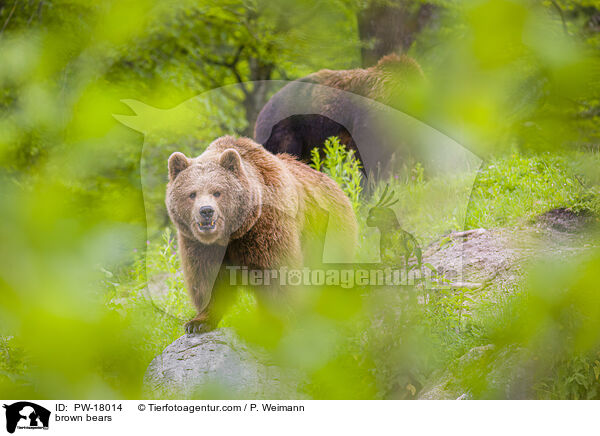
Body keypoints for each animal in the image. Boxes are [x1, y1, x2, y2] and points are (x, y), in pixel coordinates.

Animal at [166, 136, 358, 334]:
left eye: (217, 192)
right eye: (192, 194)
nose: (206, 211)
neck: (233, 234)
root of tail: (335, 185)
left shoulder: (266, 230)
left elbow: (277, 277)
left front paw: (274, 322)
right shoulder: (199, 245)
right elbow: (207, 280)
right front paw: (198, 322)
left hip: (328, 234)